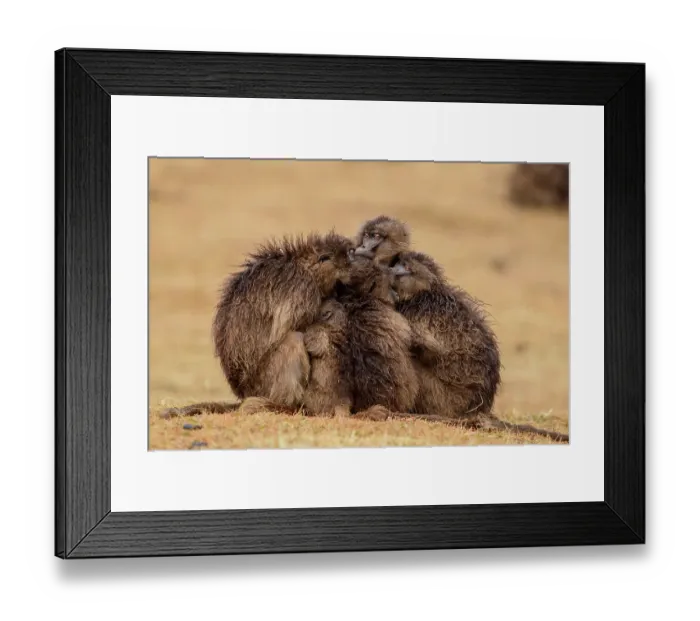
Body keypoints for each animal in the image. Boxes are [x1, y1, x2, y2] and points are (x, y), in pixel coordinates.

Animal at [160, 232, 354, 419]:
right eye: (338, 285)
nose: (338, 298)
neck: (304, 265)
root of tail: (244, 392)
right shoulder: (304, 291)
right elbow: (300, 328)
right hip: (264, 383)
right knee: (293, 340)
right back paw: (284, 406)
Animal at [390, 251, 569, 443]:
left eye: (406, 266)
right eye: (396, 263)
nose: (392, 271)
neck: (427, 291)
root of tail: (477, 410)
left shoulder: (417, 313)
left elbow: (428, 348)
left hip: (442, 399)